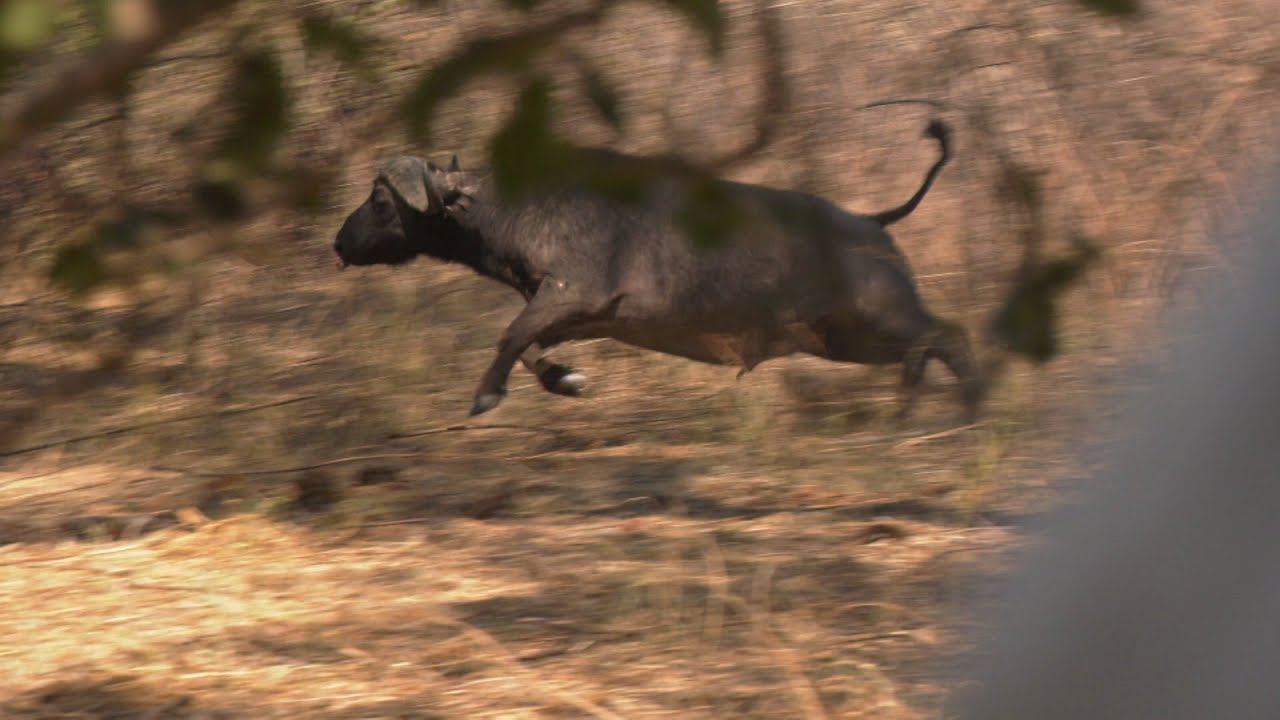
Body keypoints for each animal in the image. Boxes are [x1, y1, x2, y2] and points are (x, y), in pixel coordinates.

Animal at [333, 120, 982, 421]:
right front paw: (566, 380)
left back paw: (959, 406)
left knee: (949, 336)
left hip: (877, 321)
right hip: (843, 341)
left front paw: (487, 396)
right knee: (933, 346)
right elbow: (526, 345)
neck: (513, 205)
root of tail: (873, 222)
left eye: (381, 198)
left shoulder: (569, 293)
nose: (339, 241)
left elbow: (510, 335)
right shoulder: (571, 315)